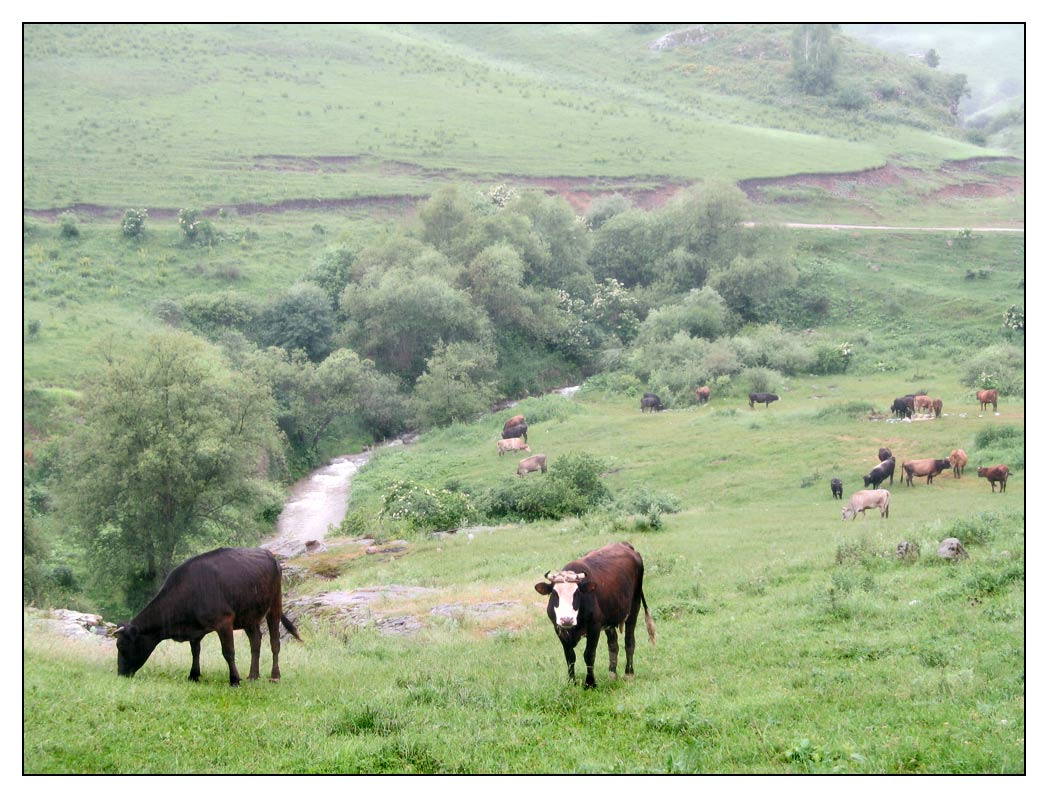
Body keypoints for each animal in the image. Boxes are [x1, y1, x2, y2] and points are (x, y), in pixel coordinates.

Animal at [115, 547, 300, 686]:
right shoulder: (194, 628)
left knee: (274, 642)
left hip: (275, 604)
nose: (120, 673)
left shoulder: (224, 621)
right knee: (255, 640)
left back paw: (274, 676)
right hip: (249, 614)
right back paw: (253, 675)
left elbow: (228, 652)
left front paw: (234, 679)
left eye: (122, 646)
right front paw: (193, 675)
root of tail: (270, 555)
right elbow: (195, 651)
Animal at [534, 541, 655, 689]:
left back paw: (629, 674)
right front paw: (572, 682)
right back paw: (612, 675)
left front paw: (590, 683)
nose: (567, 619)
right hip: (610, 620)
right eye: (554, 594)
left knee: (629, 641)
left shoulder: (594, 627)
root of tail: (626, 545)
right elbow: (570, 656)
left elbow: (589, 654)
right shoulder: (559, 629)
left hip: (633, 607)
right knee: (613, 645)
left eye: (577, 593)